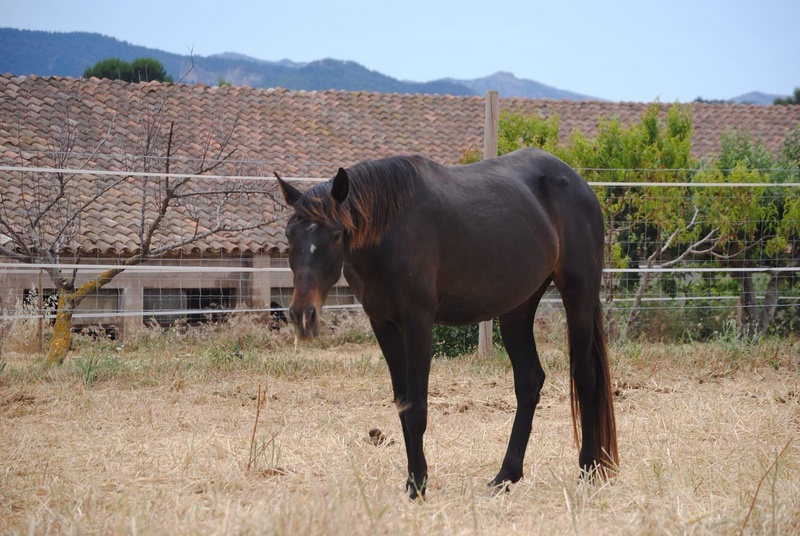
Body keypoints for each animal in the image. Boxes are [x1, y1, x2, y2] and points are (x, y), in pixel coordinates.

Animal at [275, 147, 618, 499]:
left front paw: (417, 486)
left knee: (585, 378)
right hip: (518, 308)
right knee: (529, 382)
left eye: (335, 234)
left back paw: (588, 469)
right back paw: (505, 476)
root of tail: (580, 184)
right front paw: (415, 479)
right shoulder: (383, 324)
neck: (391, 229)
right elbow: (403, 404)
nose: (302, 314)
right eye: (289, 235)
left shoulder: (418, 322)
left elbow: (416, 410)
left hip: (578, 296)